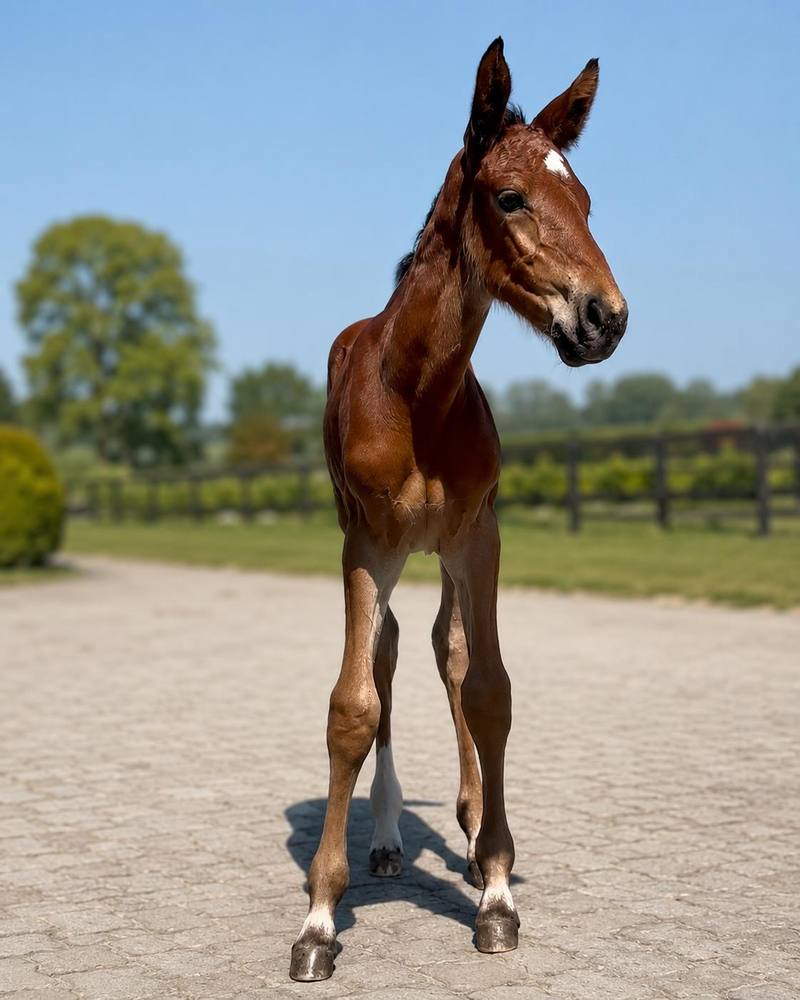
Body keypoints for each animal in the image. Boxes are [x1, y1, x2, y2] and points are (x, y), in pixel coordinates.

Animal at [290, 37, 628, 982]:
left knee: (446, 648)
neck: (418, 392)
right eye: (509, 197)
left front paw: (498, 891)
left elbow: (487, 687)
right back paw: (385, 836)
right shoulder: (366, 545)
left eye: (585, 201)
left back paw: (471, 833)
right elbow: (353, 705)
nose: (606, 317)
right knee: (392, 653)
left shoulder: (479, 536)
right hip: (387, 547)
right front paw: (319, 919)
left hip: (440, 550)